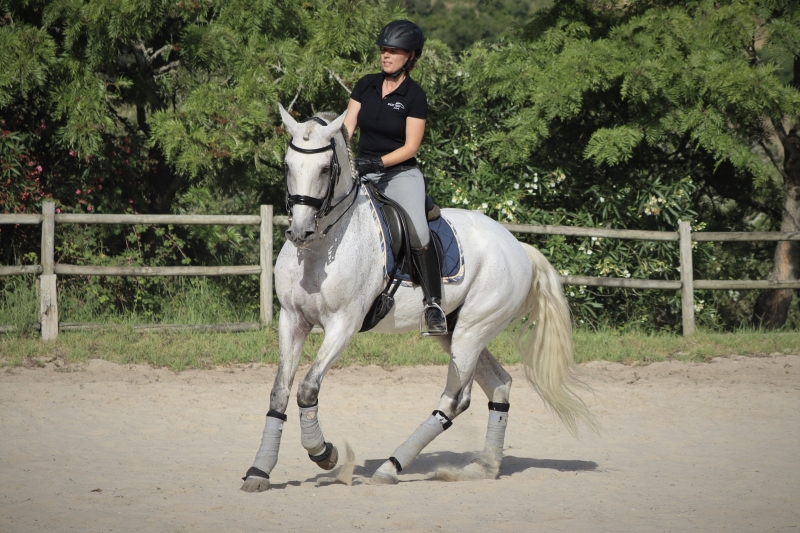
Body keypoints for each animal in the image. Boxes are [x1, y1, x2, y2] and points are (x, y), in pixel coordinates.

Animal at [241, 105, 596, 490]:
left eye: (324, 169)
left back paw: (391, 467)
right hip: (454, 332)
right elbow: (280, 391)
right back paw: (483, 468)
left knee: (456, 399)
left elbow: (307, 389)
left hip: (472, 331)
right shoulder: (292, 319)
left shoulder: (342, 325)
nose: (299, 232)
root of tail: (517, 245)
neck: (322, 248)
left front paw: (325, 454)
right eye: (287, 166)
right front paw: (259, 470)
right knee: (499, 385)